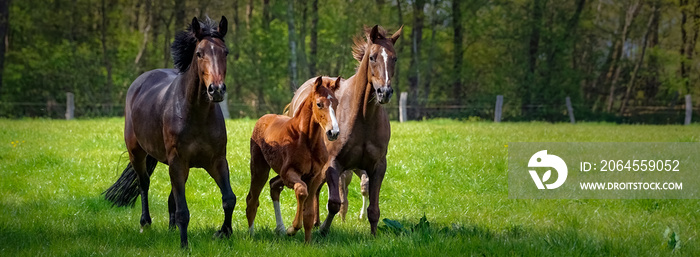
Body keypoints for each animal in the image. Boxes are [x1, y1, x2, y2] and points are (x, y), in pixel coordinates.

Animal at [104, 16, 235, 248]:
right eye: (199, 53)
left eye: (225, 52)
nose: (216, 90)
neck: (196, 114)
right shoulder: (177, 161)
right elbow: (183, 210)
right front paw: (184, 245)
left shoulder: (217, 160)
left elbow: (229, 199)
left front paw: (224, 233)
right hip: (137, 153)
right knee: (144, 184)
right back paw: (145, 223)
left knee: (171, 196)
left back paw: (171, 228)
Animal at [246, 76, 342, 242]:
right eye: (319, 104)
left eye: (336, 103)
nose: (333, 132)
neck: (307, 140)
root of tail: (263, 118)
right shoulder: (289, 173)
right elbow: (302, 191)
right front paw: (292, 229)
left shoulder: (315, 177)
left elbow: (309, 213)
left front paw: (307, 243)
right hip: (259, 169)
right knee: (252, 199)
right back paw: (252, 235)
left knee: (273, 187)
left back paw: (279, 228)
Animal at [284, 25, 402, 235]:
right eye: (372, 57)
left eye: (394, 58)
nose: (384, 92)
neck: (363, 118)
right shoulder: (333, 164)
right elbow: (334, 203)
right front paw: (323, 230)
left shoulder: (378, 166)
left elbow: (374, 208)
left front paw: (373, 235)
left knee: (315, 190)